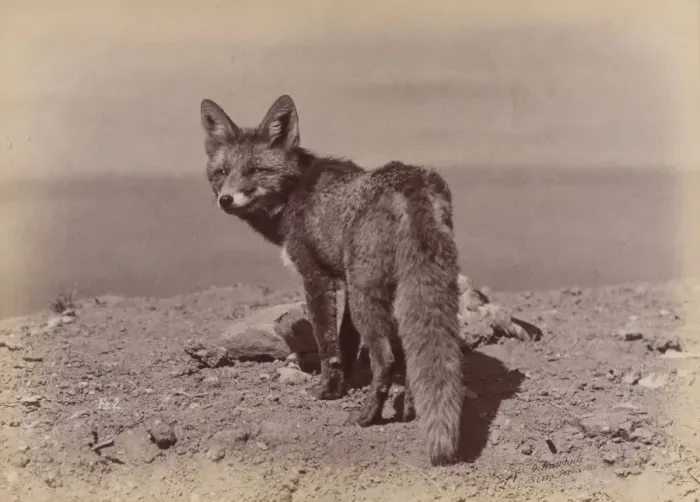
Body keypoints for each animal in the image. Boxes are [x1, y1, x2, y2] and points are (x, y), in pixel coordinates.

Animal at [199, 94, 465, 466]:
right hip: (396, 290)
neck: (295, 194)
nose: (226, 199)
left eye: (256, 170)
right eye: (222, 172)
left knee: (386, 358)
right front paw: (344, 384)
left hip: (368, 293)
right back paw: (410, 409)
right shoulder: (345, 281)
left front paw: (328, 390)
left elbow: (328, 342)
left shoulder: (317, 278)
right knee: (411, 357)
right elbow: (347, 340)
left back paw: (367, 416)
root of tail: (411, 180)